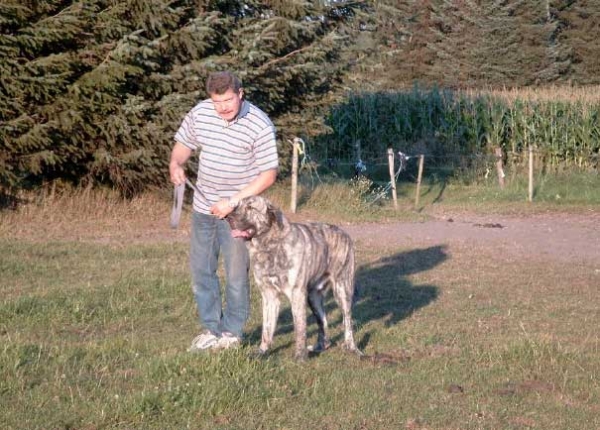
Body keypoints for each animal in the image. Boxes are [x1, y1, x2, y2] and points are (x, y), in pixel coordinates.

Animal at [227, 196, 360, 360]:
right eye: (236, 206)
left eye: (251, 208)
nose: (228, 217)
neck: (270, 245)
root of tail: (344, 233)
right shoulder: (269, 296)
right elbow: (267, 329)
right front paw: (262, 352)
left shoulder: (297, 294)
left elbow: (300, 328)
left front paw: (300, 357)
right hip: (313, 297)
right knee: (323, 322)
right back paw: (320, 346)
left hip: (342, 290)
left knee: (347, 321)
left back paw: (352, 348)